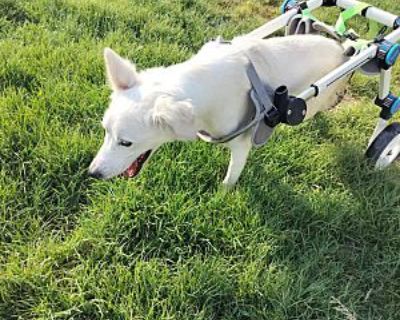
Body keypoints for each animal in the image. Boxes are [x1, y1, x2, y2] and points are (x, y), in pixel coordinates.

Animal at [88, 35, 346, 188]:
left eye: (126, 143)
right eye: (105, 132)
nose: (92, 174)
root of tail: (341, 47)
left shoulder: (241, 146)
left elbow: (228, 182)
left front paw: (221, 198)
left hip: (316, 101)